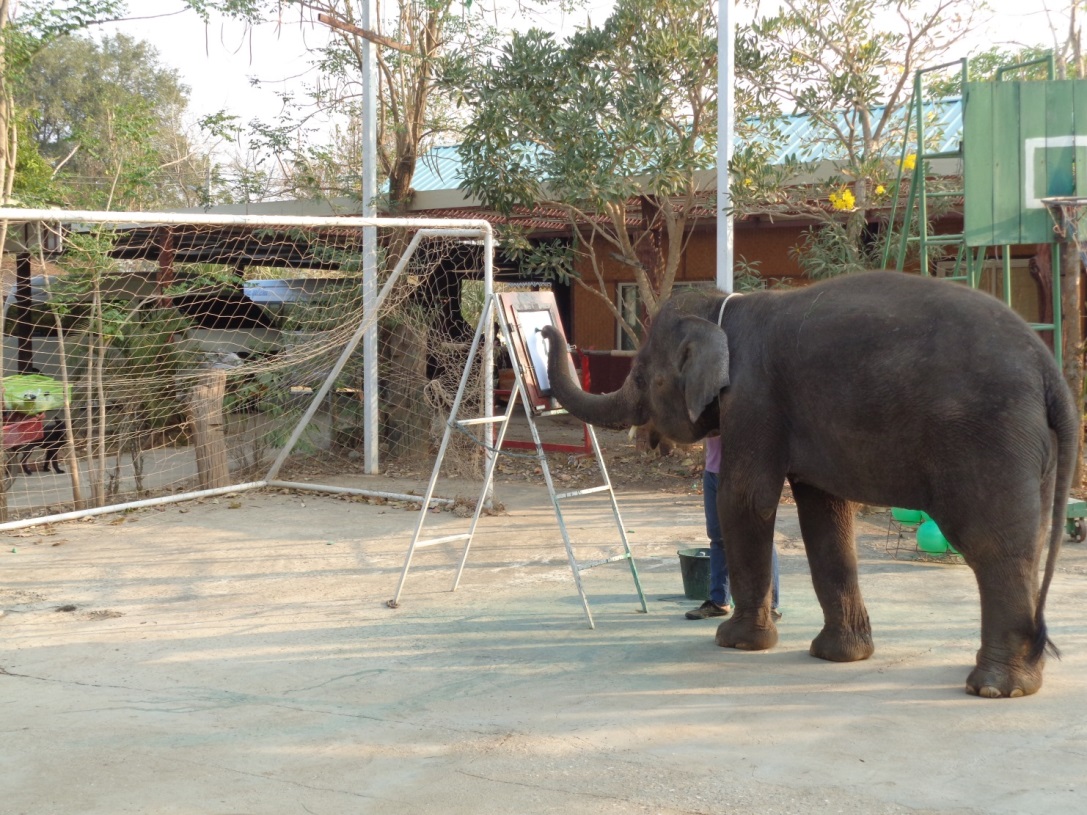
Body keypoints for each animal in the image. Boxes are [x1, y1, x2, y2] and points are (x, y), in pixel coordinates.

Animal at [543, 271, 1078, 699]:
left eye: (644, 377)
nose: (548, 327)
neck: (728, 309)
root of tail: (1049, 369)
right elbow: (824, 513)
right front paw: (839, 655)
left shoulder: (754, 399)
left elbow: (746, 501)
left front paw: (737, 642)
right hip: (1031, 447)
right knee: (1027, 540)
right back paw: (1025, 677)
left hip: (987, 438)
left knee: (993, 545)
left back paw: (994, 687)